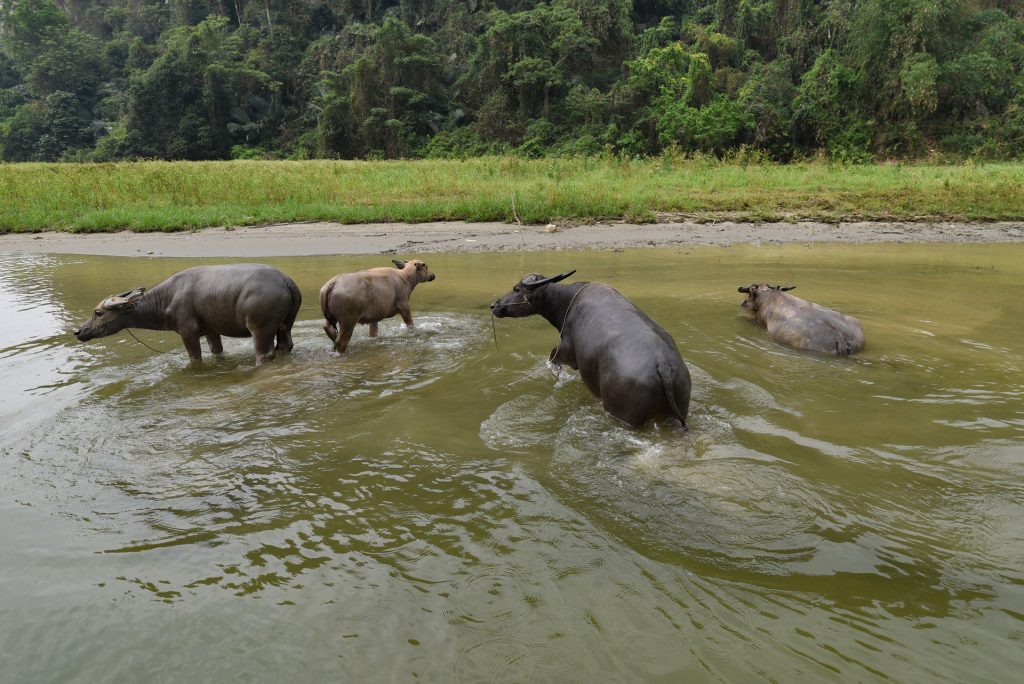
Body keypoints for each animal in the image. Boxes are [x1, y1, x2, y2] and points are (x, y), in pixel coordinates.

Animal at [74, 264, 301, 366]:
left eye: (98, 312)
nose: (78, 331)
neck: (167, 299)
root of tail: (285, 280)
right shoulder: (211, 331)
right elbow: (216, 350)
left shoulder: (188, 332)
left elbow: (195, 358)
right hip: (285, 325)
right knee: (285, 345)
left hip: (260, 329)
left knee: (264, 354)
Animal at [491, 270, 692, 428]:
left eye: (517, 289)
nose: (495, 305)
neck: (567, 301)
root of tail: (663, 365)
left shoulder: (567, 351)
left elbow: (552, 357)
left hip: (624, 415)